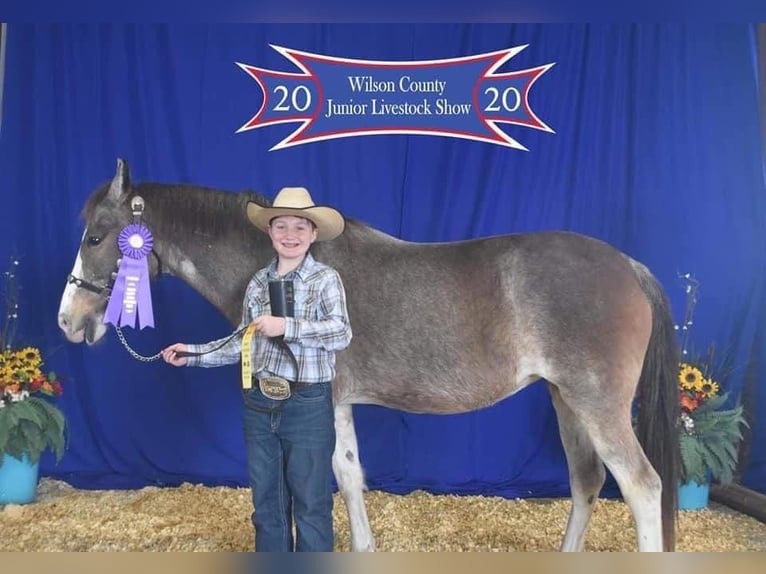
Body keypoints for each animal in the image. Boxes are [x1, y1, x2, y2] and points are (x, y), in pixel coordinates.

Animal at [60, 159, 684, 552]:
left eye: (96, 238)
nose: (69, 321)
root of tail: (629, 266)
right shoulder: (333, 401)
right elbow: (348, 472)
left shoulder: (325, 395)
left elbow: (340, 472)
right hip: (564, 399)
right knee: (586, 480)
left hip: (597, 403)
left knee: (641, 486)